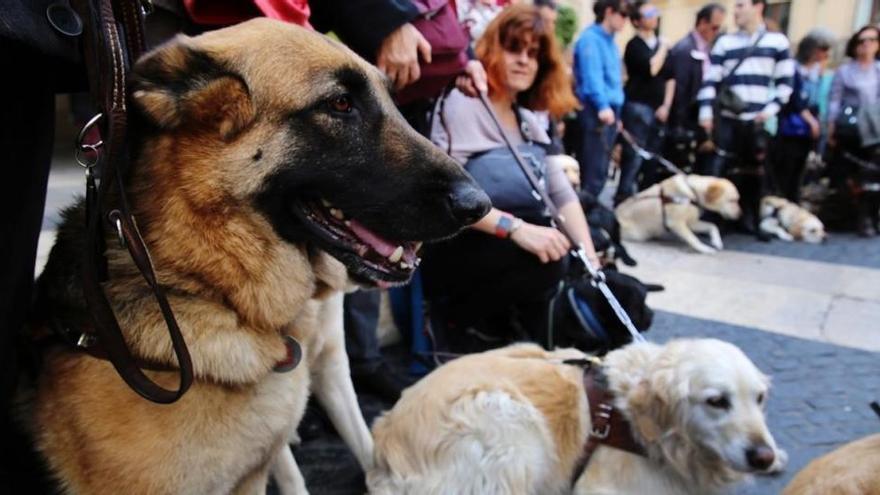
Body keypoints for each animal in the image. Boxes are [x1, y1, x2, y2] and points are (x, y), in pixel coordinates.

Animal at [616, 175, 744, 254]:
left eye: (737, 200)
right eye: (732, 200)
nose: (740, 215)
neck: (693, 193)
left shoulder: (692, 223)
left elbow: (712, 226)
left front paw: (717, 242)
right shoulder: (676, 223)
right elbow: (693, 238)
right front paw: (704, 248)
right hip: (636, 234)